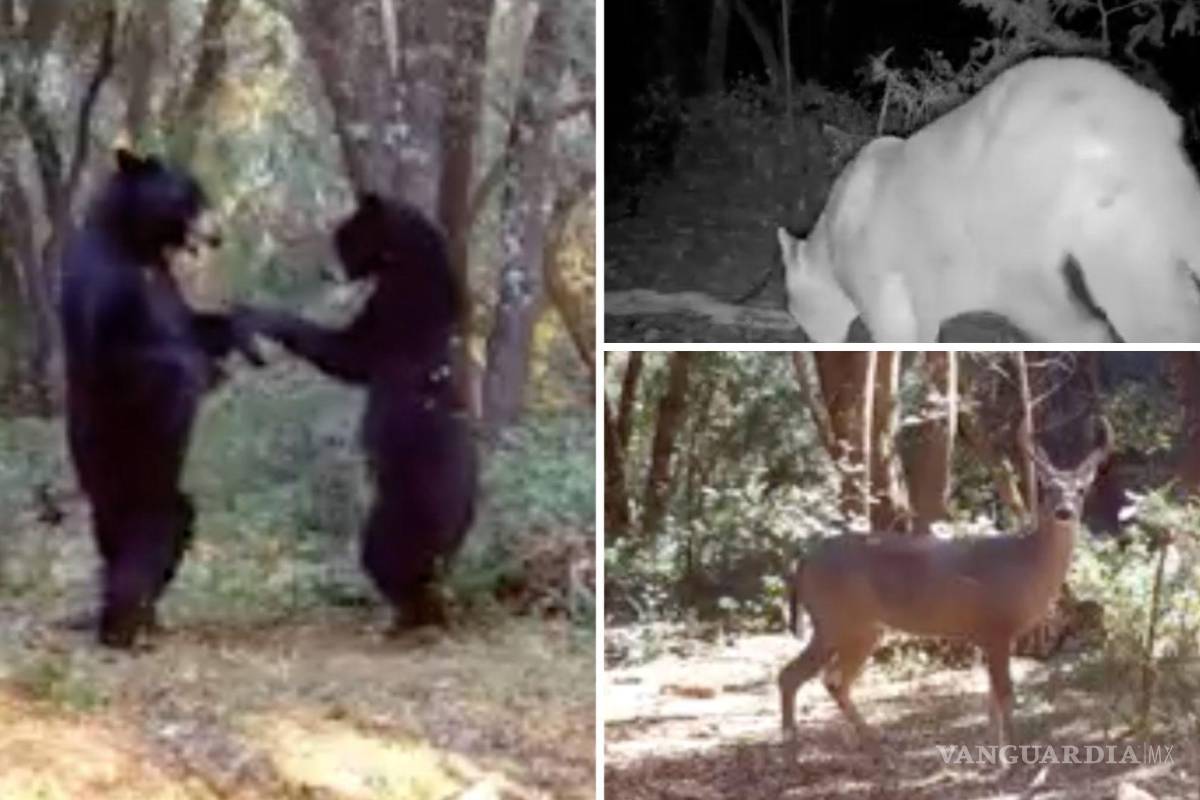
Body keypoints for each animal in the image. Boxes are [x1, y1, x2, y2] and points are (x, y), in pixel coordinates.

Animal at [60, 148, 260, 648]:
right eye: (188, 195)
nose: (217, 234)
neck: (136, 245)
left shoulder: (167, 283)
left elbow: (196, 322)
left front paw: (244, 334)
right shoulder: (107, 287)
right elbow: (128, 358)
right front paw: (204, 372)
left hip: (153, 492)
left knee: (166, 527)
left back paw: (146, 617)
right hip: (118, 466)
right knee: (141, 538)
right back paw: (123, 626)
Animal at [238, 193, 477, 630]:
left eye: (344, 236)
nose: (329, 270)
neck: (407, 263)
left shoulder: (396, 314)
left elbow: (346, 352)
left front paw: (263, 315)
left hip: (400, 509)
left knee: (385, 557)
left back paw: (404, 617)